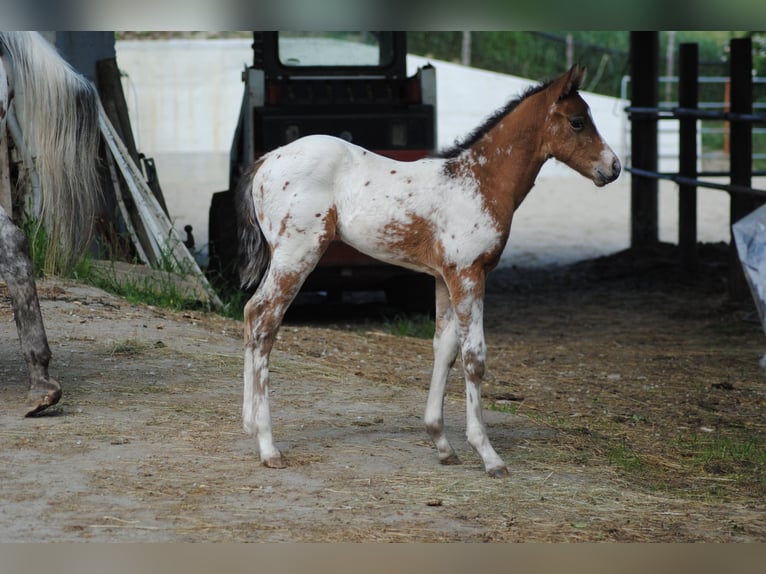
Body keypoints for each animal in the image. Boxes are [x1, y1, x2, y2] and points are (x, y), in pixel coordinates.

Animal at [237, 67, 620, 480]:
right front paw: (488, 455)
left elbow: (444, 348)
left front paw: (441, 443)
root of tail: (266, 160)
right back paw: (268, 446)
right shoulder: (469, 274)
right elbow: (474, 357)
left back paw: (249, 424)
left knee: (250, 314)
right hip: (297, 254)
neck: (478, 181)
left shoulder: (442, 277)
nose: (614, 167)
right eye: (578, 121)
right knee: (264, 320)